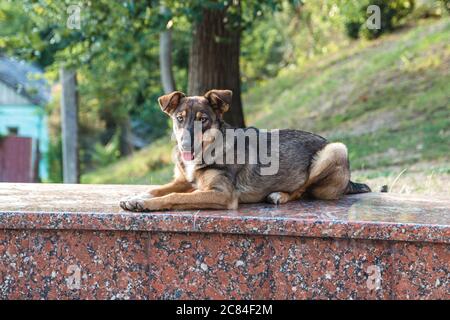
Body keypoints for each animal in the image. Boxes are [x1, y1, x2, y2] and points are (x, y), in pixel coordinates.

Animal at [118, 89, 370, 211]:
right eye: (179, 118)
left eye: (203, 120)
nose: (185, 145)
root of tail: (350, 182)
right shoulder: (184, 181)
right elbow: (157, 189)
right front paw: (136, 197)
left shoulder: (222, 194)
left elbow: (174, 196)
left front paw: (145, 204)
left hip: (335, 150)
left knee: (303, 190)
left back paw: (280, 195)